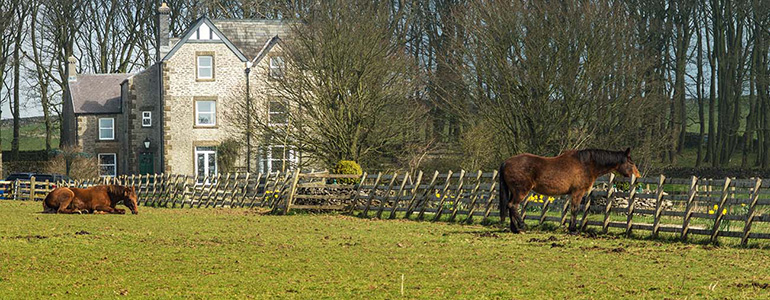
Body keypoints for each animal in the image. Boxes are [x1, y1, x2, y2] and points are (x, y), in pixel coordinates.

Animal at [496, 147, 640, 232]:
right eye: (631, 162)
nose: (638, 176)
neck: (586, 164)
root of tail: (506, 162)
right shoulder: (578, 192)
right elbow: (575, 209)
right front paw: (573, 229)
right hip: (520, 191)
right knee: (513, 205)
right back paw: (521, 226)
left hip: (514, 191)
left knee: (510, 206)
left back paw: (515, 229)